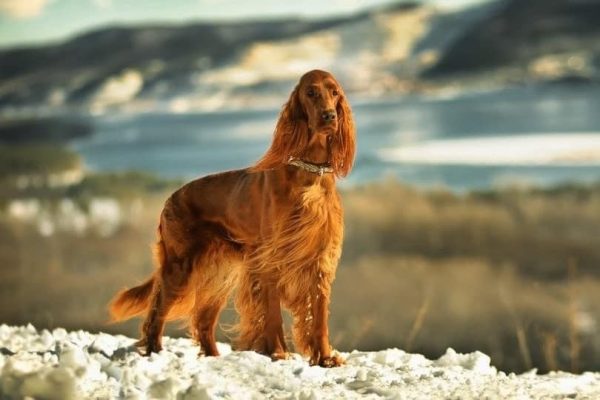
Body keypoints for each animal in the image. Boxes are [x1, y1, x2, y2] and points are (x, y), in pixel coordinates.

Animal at [109, 70, 354, 368]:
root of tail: (170, 199)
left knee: (202, 320)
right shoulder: (269, 260)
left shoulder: (319, 259)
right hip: (180, 266)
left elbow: (318, 316)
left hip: (219, 274)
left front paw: (325, 358)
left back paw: (212, 357)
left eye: (335, 93)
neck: (310, 175)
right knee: (158, 309)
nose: (329, 116)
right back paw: (155, 351)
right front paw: (277, 353)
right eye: (311, 93)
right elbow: (272, 313)